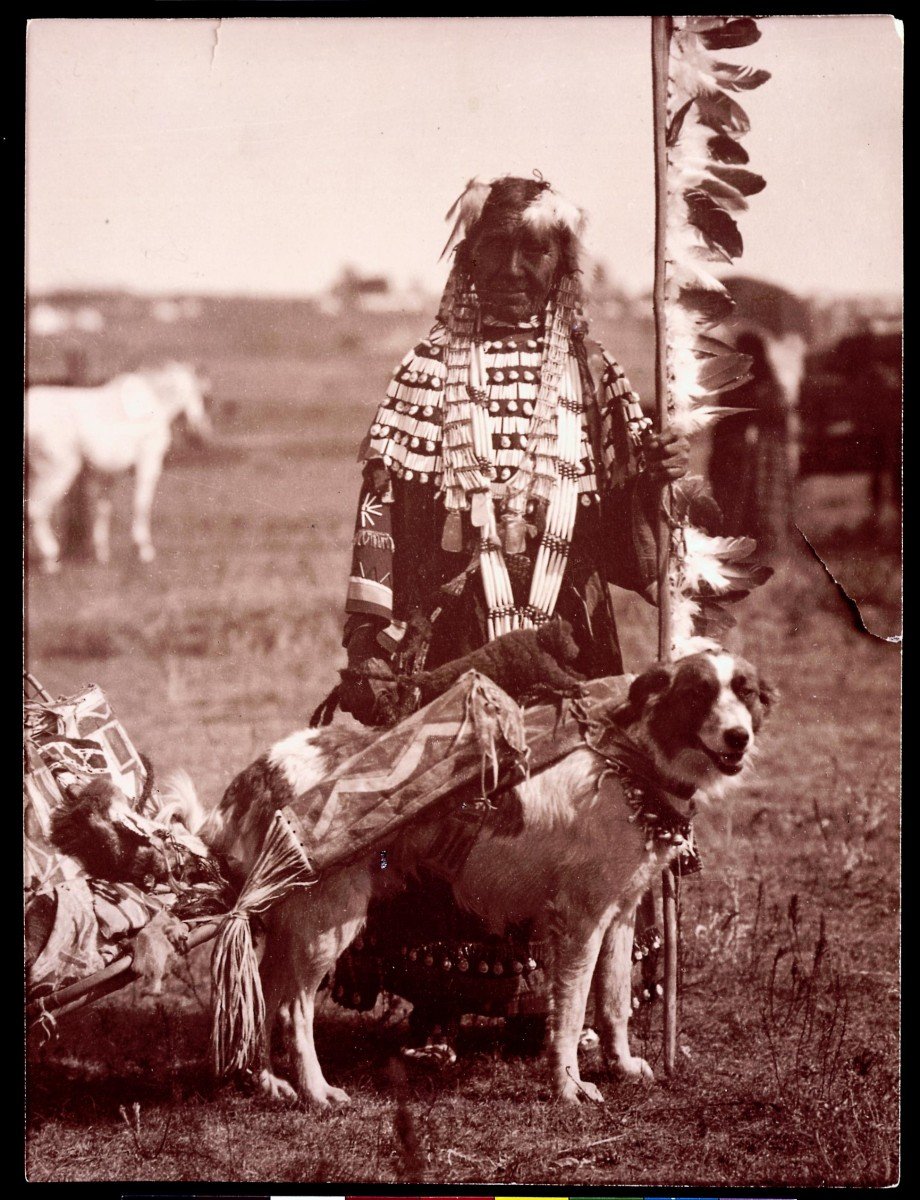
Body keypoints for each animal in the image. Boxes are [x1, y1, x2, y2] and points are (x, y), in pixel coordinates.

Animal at [25, 360, 213, 571]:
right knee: (36, 510)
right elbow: (141, 504)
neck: (153, 404)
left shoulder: (107, 474)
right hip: (56, 473)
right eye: (201, 395)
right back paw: (50, 559)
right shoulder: (148, 463)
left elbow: (104, 509)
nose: (200, 434)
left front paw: (102, 554)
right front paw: (144, 550)